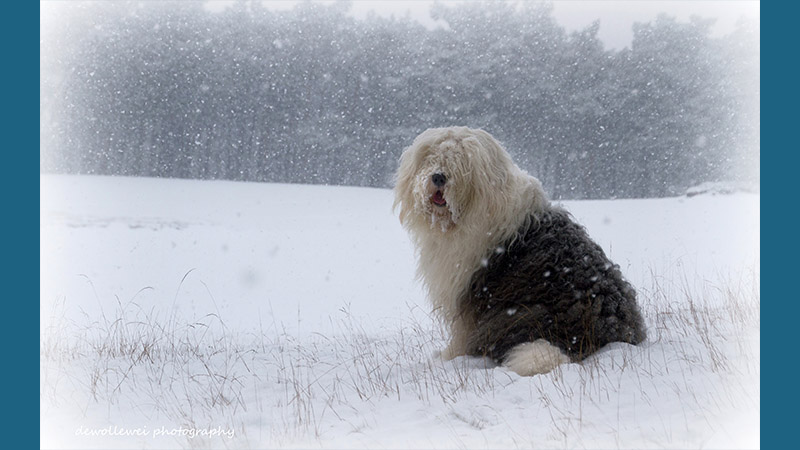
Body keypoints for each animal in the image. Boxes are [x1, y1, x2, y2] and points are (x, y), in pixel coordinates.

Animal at [390, 126, 648, 376]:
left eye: (460, 160)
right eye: (430, 156)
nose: (438, 177)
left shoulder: (469, 290)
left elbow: (462, 330)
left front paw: (449, 357)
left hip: (518, 314)